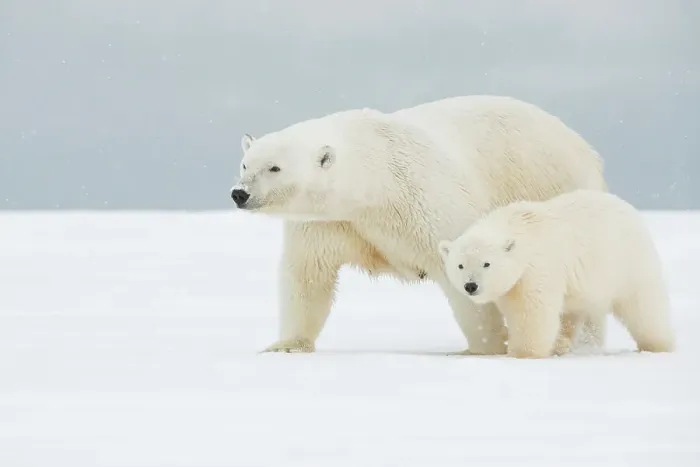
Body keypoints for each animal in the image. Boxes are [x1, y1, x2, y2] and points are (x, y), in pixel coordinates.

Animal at [229, 95, 609, 355]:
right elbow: (308, 275)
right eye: (245, 164)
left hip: (554, 186)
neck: (375, 182)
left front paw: (482, 348)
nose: (239, 193)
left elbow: (465, 271)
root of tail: (585, 147)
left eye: (275, 167)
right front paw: (285, 345)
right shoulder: (329, 223)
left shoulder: (427, 202)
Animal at [438, 189, 676, 359]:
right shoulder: (514, 282)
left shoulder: (536, 268)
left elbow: (531, 311)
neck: (518, 226)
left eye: (486, 263)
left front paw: (522, 352)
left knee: (644, 306)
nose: (471, 286)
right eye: (460, 265)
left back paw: (659, 344)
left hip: (628, 264)